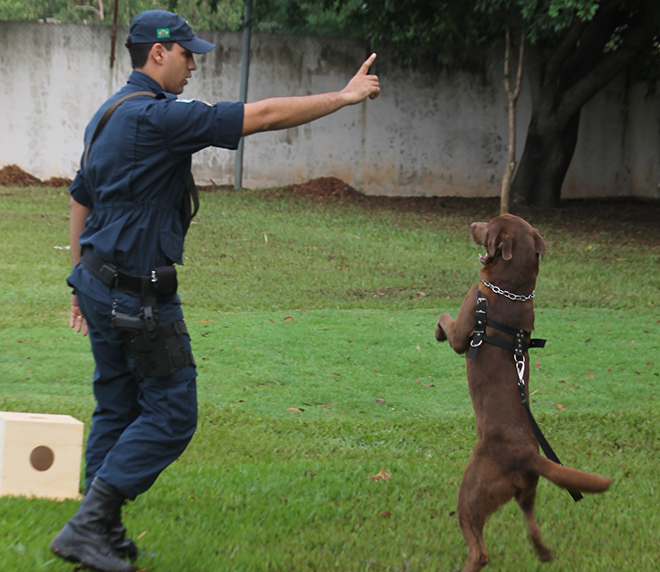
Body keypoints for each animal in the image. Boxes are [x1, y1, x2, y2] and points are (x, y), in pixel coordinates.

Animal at [436, 214, 612, 572]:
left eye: (487, 227)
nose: (471, 224)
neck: (513, 291)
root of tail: (527, 455)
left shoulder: (465, 324)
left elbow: (447, 321)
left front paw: (437, 329)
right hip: (527, 491)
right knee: (531, 524)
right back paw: (543, 553)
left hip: (471, 491)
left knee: (479, 549)